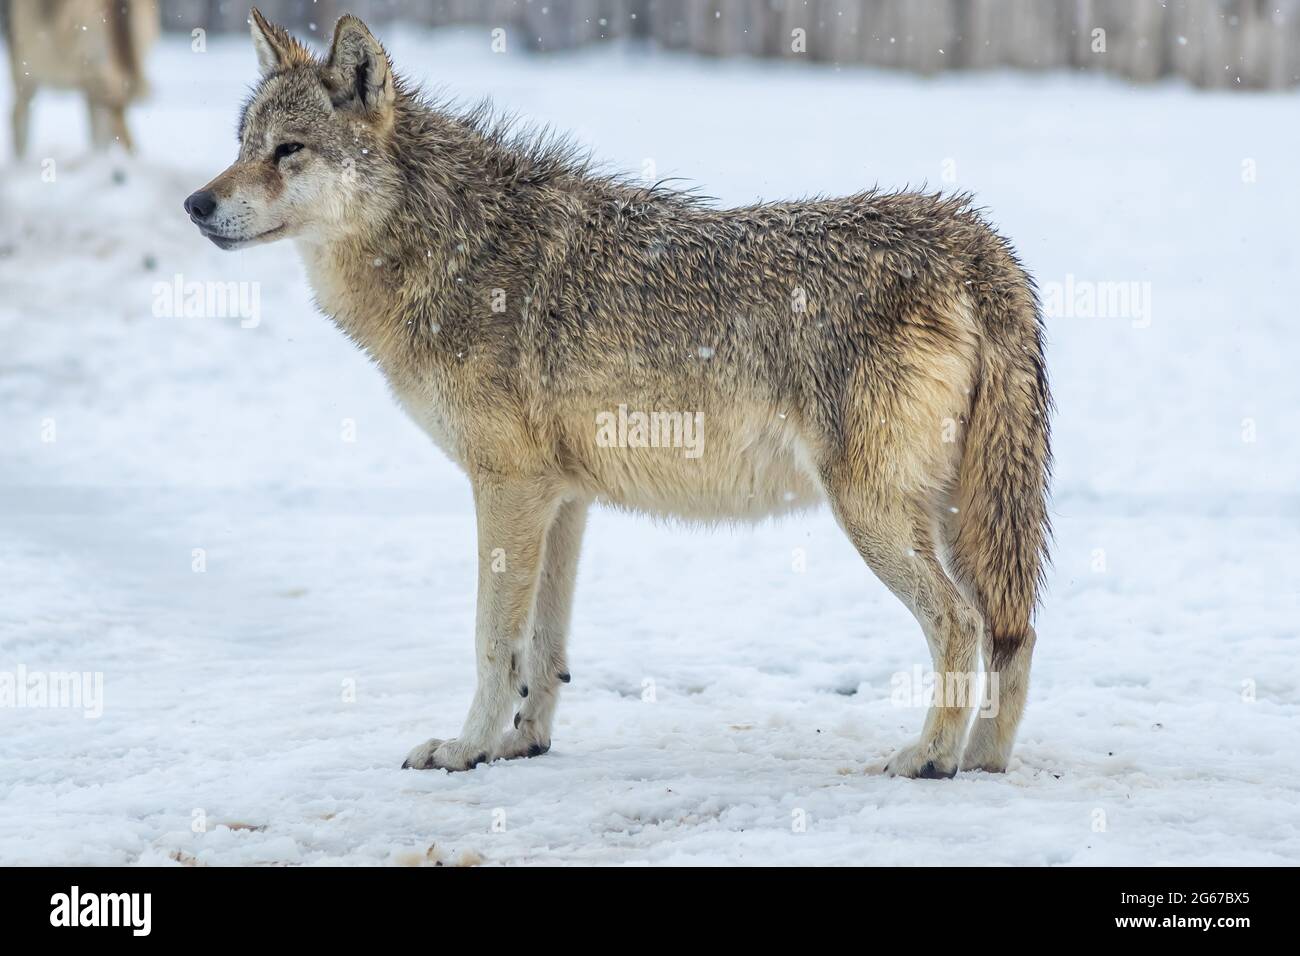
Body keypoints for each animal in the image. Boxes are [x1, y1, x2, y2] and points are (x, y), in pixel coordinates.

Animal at [185, 11, 1055, 780]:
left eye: (287, 151)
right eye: (242, 146)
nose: (196, 204)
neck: (448, 249)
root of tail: (974, 239)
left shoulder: (505, 489)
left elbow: (491, 642)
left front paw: (465, 750)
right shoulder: (562, 501)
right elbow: (544, 649)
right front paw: (522, 744)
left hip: (874, 515)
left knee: (960, 622)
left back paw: (930, 758)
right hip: (954, 517)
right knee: (1013, 629)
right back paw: (983, 761)